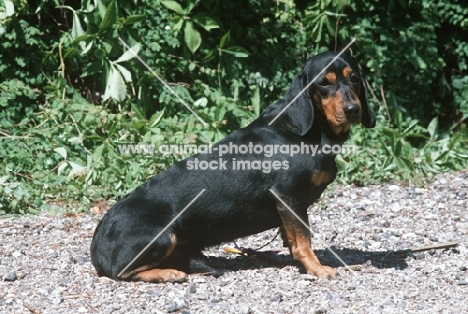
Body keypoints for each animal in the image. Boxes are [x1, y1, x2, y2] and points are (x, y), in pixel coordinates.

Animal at [90, 51, 376, 282]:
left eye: (355, 79)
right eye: (323, 83)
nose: (353, 109)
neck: (303, 131)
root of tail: (96, 246)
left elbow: (291, 239)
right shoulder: (289, 196)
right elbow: (303, 242)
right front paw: (317, 269)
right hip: (163, 236)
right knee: (121, 272)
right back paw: (168, 273)